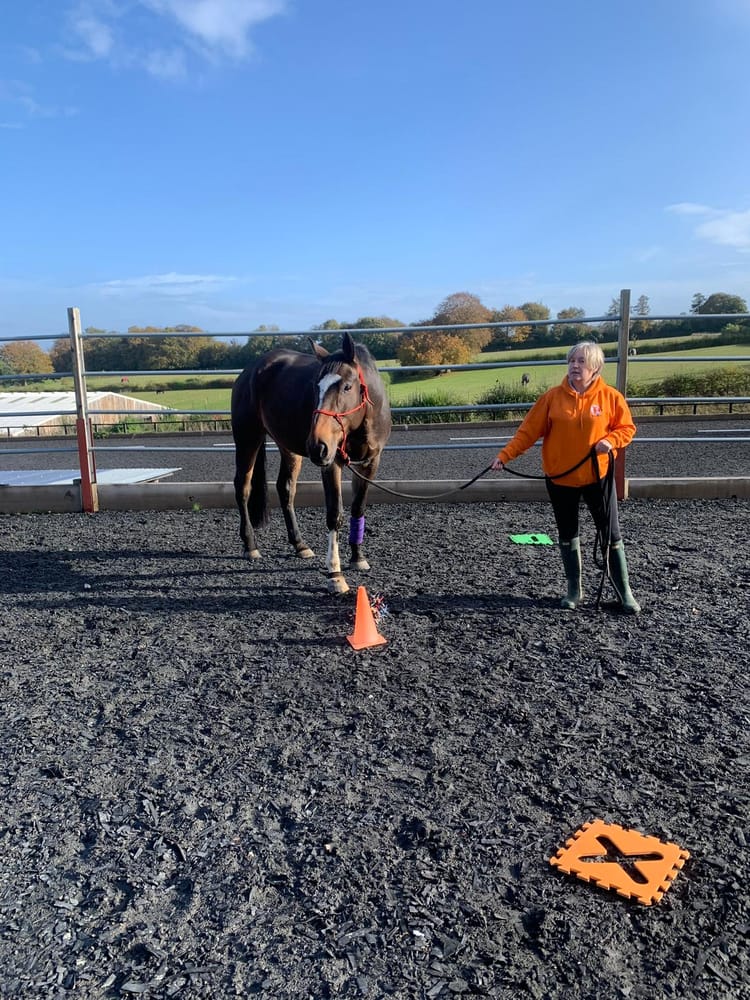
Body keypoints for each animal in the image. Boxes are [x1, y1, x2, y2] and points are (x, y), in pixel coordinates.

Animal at [231, 332, 392, 594]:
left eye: (347, 386)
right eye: (316, 386)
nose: (317, 445)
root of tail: (251, 370)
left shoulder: (370, 462)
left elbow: (358, 507)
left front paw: (357, 558)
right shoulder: (332, 462)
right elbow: (334, 513)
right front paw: (335, 575)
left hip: (288, 448)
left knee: (285, 488)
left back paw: (299, 544)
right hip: (248, 438)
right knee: (242, 487)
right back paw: (250, 545)